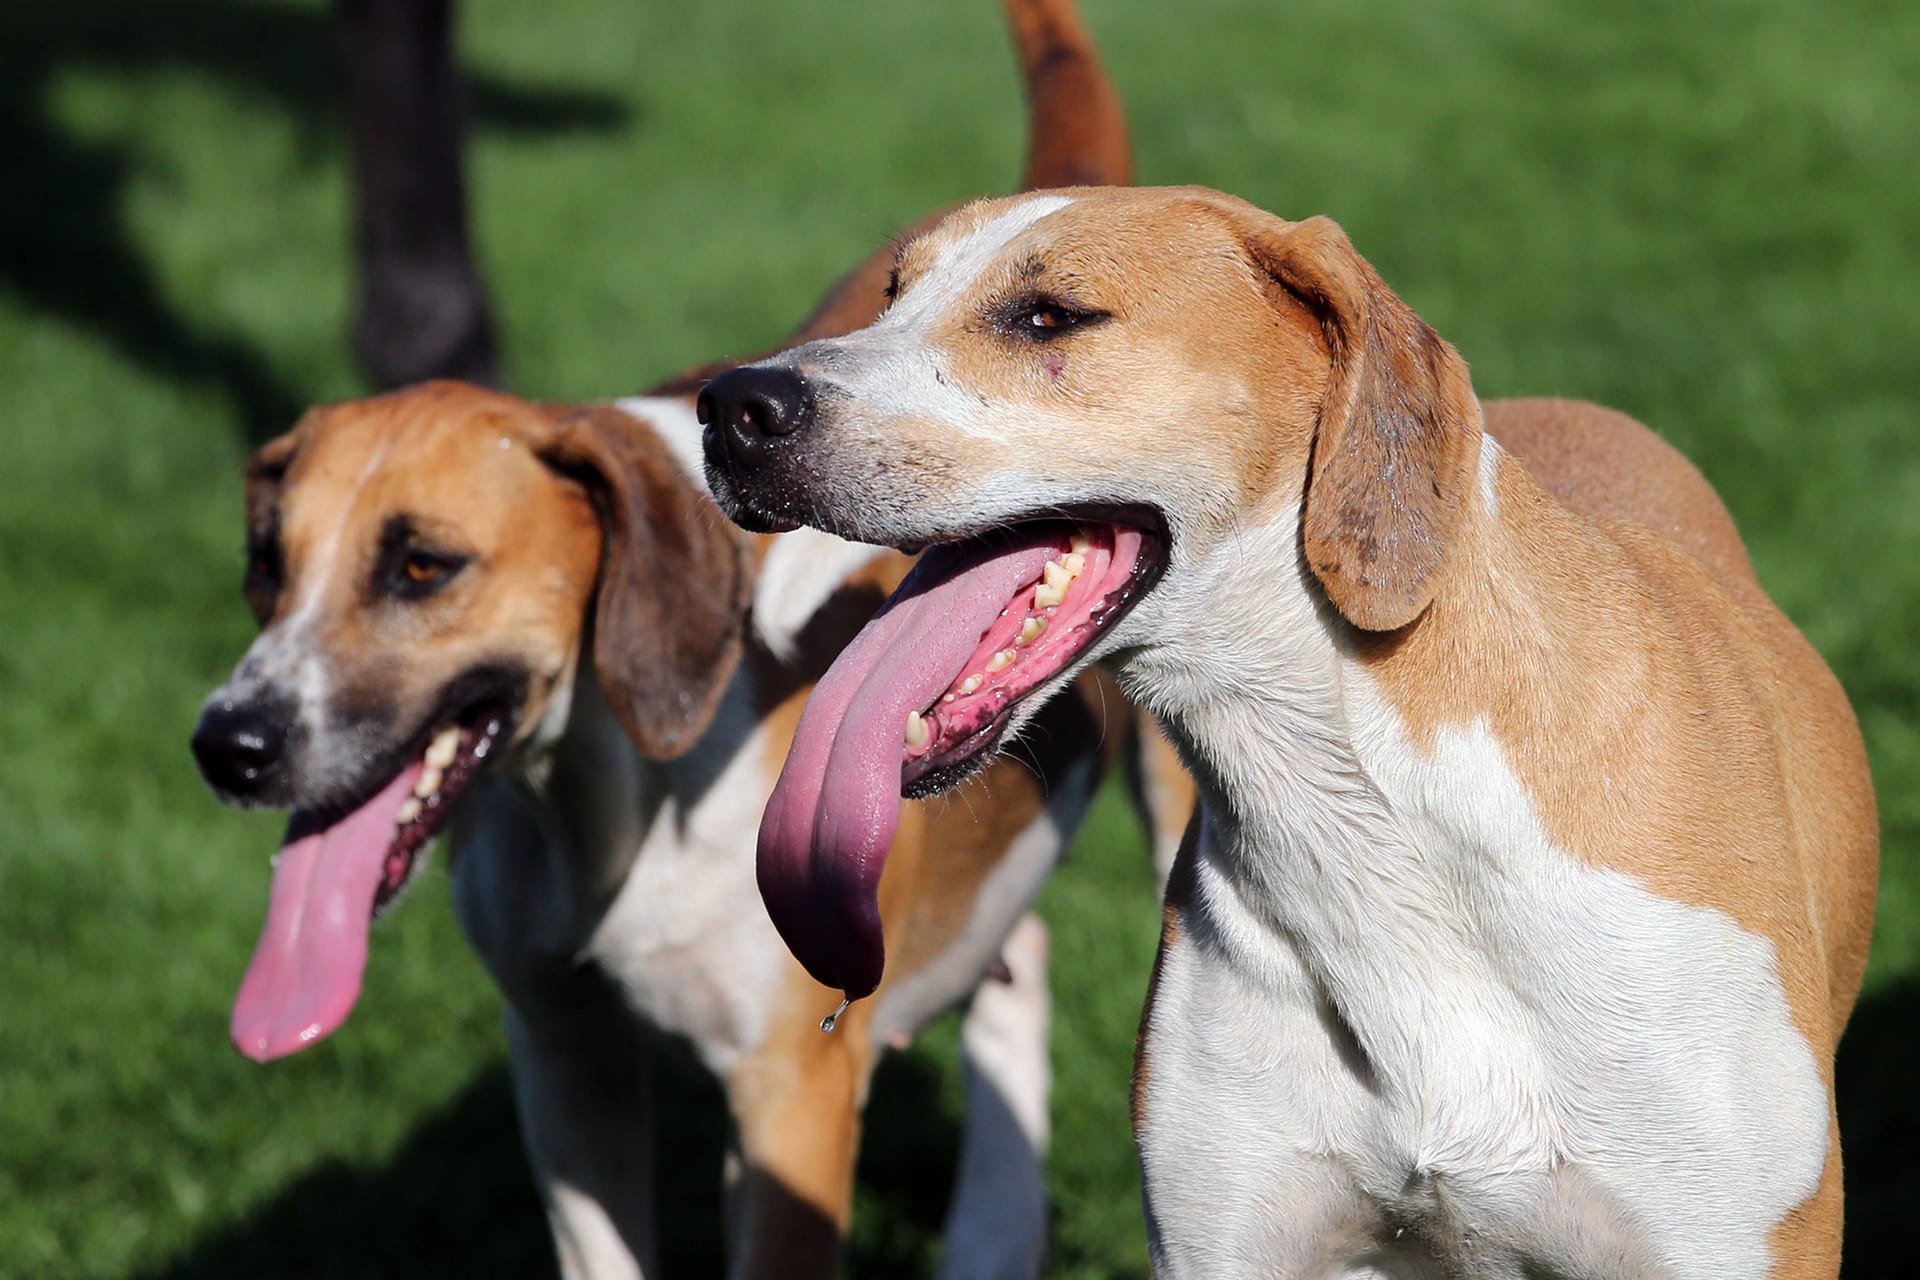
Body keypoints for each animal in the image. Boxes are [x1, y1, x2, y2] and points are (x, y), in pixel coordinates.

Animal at [187, 7, 1190, 1274]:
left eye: (422, 566)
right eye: (267, 564)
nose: (229, 744)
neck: (606, 790)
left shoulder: (791, 1099)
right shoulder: (565, 1054)